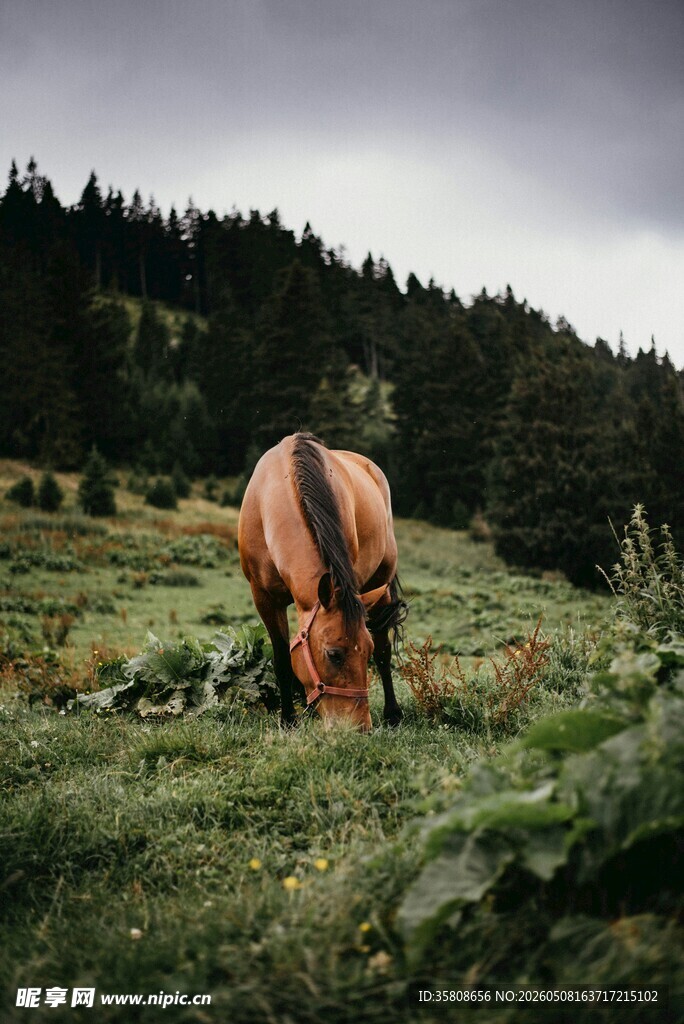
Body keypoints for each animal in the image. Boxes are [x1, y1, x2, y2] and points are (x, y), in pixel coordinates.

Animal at [238, 433, 407, 730]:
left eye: (365, 651)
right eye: (334, 654)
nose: (358, 727)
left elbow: (379, 651)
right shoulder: (264, 598)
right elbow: (282, 659)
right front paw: (289, 720)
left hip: (380, 585)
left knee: (385, 651)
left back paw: (393, 713)